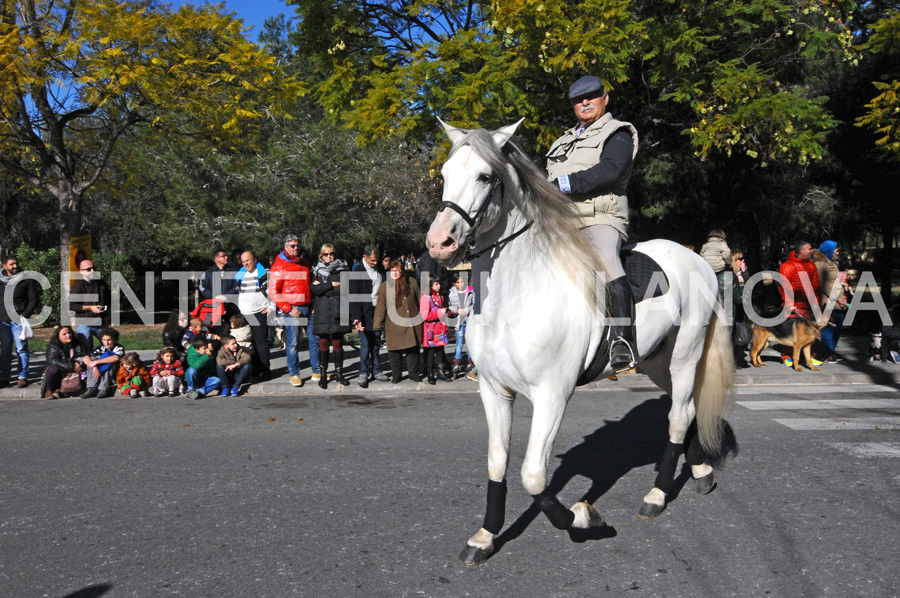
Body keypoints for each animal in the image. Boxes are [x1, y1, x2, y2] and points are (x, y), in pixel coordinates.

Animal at [428, 120, 732, 568]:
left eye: (485, 176)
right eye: (446, 174)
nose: (439, 243)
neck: (515, 294)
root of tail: (695, 259)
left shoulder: (552, 394)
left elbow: (533, 474)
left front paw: (584, 518)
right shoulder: (494, 390)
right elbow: (498, 462)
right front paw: (484, 537)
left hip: (685, 356)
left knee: (678, 417)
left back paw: (657, 495)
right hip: (656, 362)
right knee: (689, 409)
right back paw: (701, 474)